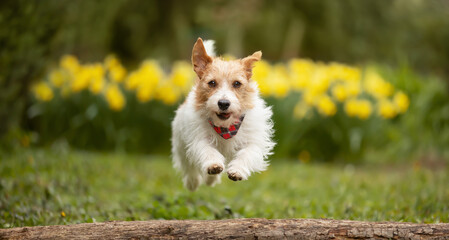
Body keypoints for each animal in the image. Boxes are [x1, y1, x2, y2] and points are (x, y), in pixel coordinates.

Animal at [172, 38, 274, 191]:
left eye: (237, 83)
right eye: (212, 83)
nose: (223, 103)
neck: (226, 127)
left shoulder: (253, 142)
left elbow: (246, 154)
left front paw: (237, 170)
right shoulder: (199, 139)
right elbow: (208, 151)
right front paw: (213, 166)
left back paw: (210, 180)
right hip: (180, 143)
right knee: (187, 165)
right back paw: (193, 182)